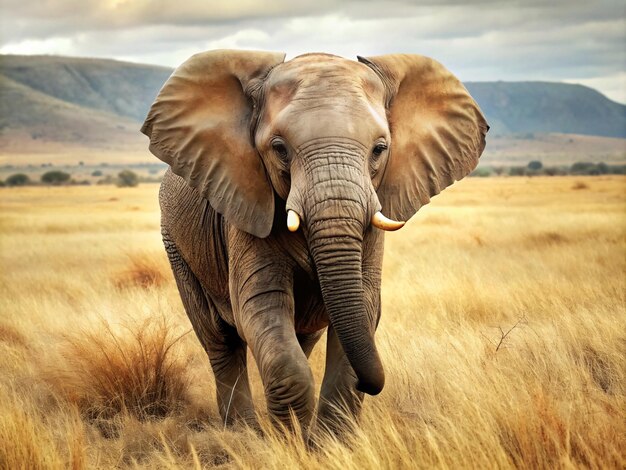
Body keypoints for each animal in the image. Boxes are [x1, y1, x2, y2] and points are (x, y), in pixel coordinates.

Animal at [143, 48, 488, 434]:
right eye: (280, 148)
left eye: (379, 149)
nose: (374, 383)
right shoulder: (246, 205)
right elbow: (261, 305)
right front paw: (290, 441)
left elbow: (364, 304)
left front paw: (329, 442)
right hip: (177, 246)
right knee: (220, 339)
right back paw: (243, 433)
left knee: (302, 335)